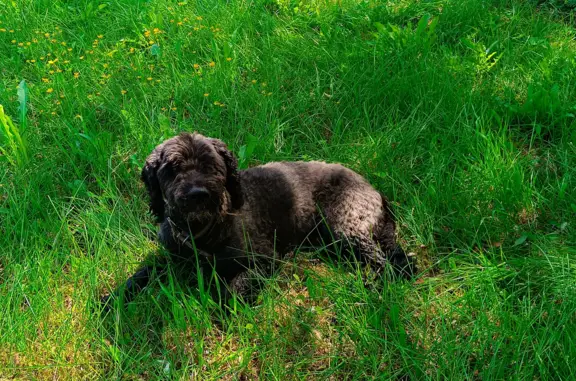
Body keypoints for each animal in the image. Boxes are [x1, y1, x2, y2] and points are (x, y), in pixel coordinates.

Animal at [101, 133, 416, 308]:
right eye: (172, 169)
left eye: (211, 165)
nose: (198, 194)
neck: (204, 232)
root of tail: (373, 189)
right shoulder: (171, 257)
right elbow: (143, 273)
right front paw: (115, 298)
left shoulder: (265, 260)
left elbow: (234, 289)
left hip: (345, 228)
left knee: (386, 263)